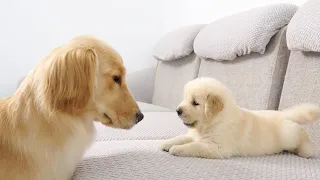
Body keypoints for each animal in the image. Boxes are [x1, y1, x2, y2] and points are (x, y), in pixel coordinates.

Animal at [160, 77, 320, 159]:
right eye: (185, 99)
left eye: (195, 103)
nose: (178, 111)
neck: (213, 122)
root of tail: (283, 114)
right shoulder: (195, 136)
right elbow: (182, 138)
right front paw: (167, 143)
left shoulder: (217, 148)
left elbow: (195, 146)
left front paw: (177, 149)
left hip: (290, 135)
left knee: (302, 137)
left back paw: (304, 150)